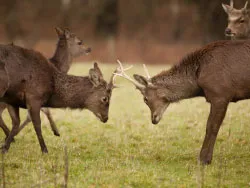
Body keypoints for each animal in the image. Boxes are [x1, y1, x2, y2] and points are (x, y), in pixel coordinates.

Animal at [0, 41, 132, 153]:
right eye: (105, 98)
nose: (106, 118)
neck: (52, 87)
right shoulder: (34, 97)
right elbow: (37, 124)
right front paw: (44, 150)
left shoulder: (12, 100)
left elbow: (16, 124)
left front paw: (5, 147)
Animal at [115, 38, 250, 164]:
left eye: (145, 99)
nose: (153, 119)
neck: (199, 80)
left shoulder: (221, 94)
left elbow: (211, 127)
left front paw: (204, 160)